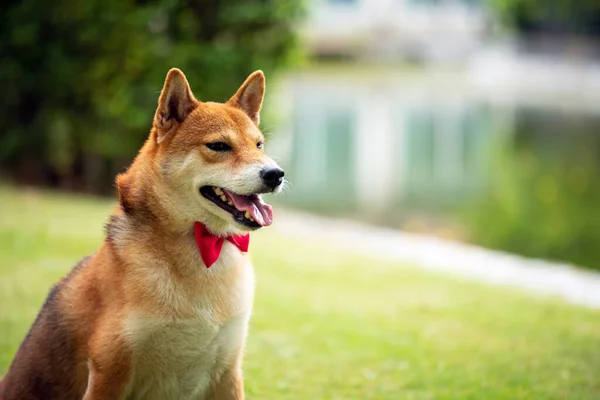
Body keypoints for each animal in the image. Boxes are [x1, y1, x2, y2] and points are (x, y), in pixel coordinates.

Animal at [0, 67, 284, 398]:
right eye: (218, 146)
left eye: (259, 145)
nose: (276, 174)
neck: (201, 247)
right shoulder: (109, 372)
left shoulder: (228, 373)